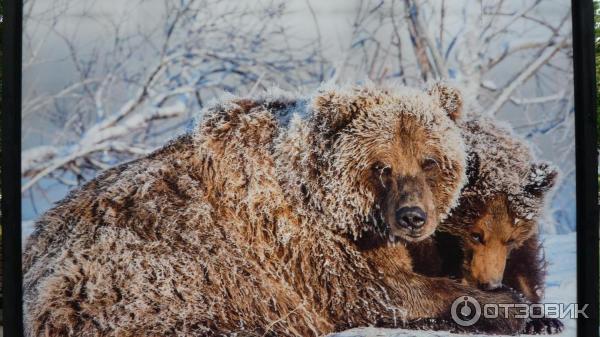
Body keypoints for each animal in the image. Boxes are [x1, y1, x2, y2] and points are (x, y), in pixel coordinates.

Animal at [23, 82, 528, 334]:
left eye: (429, 160)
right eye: (382, 165)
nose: (412, 217)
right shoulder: (297, 246)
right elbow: (378, 292)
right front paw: (508, 304)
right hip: (141, 284)